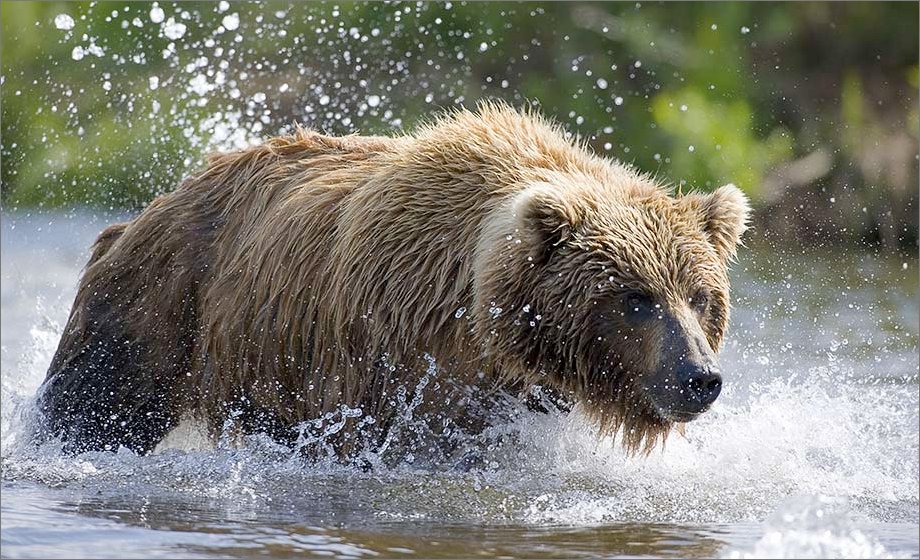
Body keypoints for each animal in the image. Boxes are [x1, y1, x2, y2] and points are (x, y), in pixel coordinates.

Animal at [36, 102, 749, 458]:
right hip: (159, 306)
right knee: (95, 401)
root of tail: (150, 205)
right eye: (635, 299)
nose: (700, 376)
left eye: (700, 297)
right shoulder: (394, 364)